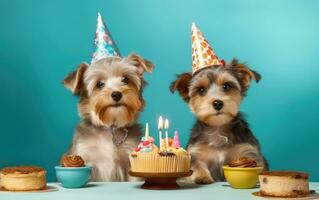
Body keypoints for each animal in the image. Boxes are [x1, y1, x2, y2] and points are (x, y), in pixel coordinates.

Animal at [170, 22, 268, 184]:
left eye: (227, 86)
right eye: (201, 90)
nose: (217, 103)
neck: (218, 128)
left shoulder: (247, 150)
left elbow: (255, 165)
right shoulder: (196, 152)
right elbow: (196, 165)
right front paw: (202, 176)